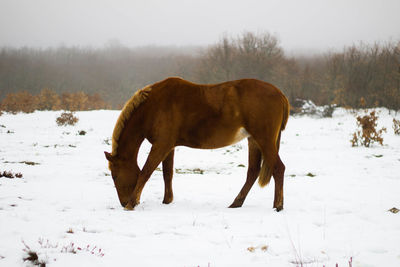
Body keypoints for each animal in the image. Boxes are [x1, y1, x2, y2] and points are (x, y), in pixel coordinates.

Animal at [104, 77, 290, 211]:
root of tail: (280, 94)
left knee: (278, 168)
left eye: (114, 175)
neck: (154, 107)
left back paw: (278, 206)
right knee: (253, 172)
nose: (123, 202)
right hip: (254, 140)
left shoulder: (161, 145)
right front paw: (167, 201)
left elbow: (145, 172)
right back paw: (236, 203)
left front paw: (132, 204)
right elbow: (167, 173)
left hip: (264, 140)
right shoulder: (168, 147)